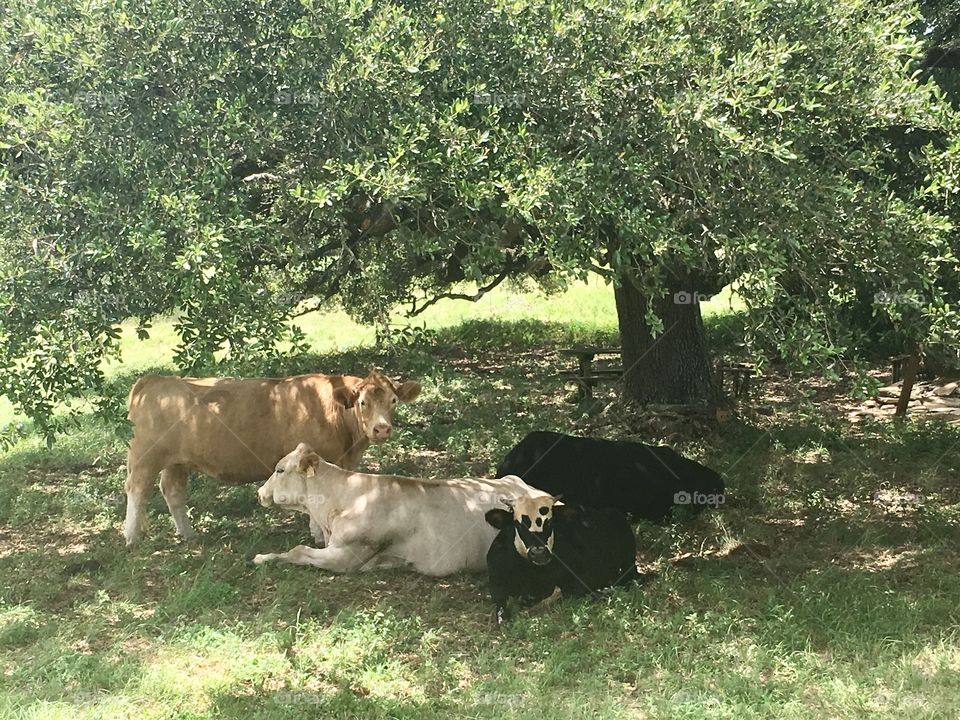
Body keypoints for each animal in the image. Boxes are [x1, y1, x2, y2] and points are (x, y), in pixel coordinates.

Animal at [122, 370, 420, 546]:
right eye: (362, 402)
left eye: (393, 401)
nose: (382, 429)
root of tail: (153, 379)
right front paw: (317, 535)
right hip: (145, 457)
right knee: (137, 489)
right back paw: (131, 537)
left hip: (177, 461)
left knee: (172, 491)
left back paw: (188, 535)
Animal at [484, 495, 643, 624]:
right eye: (518, 524)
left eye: (550, 522)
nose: (539, 552)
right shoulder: (496, 580)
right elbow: (500, 605)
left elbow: (571, 590)